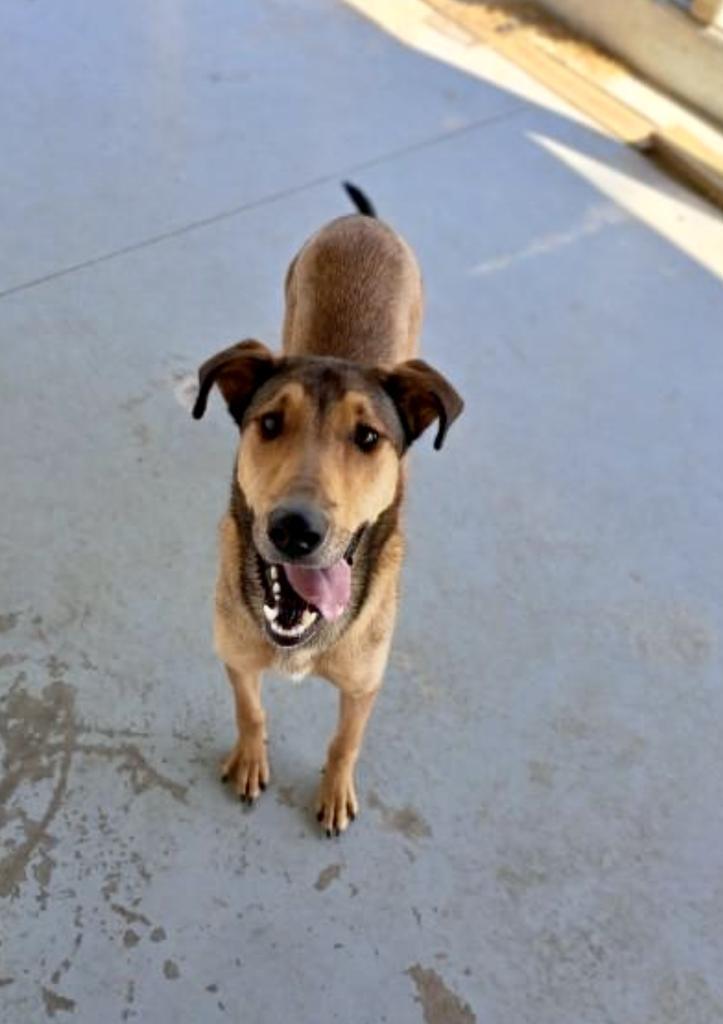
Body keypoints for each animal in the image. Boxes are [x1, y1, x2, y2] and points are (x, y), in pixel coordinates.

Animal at [191, 184, 462, 835]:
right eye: (269, 423)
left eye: (367, 437)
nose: (295, 530)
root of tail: (363, 223)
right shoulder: (235, 657)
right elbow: (251, 711)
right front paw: (250, 759)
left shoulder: (364, 686)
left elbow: (345, 741)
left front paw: (335, 791)